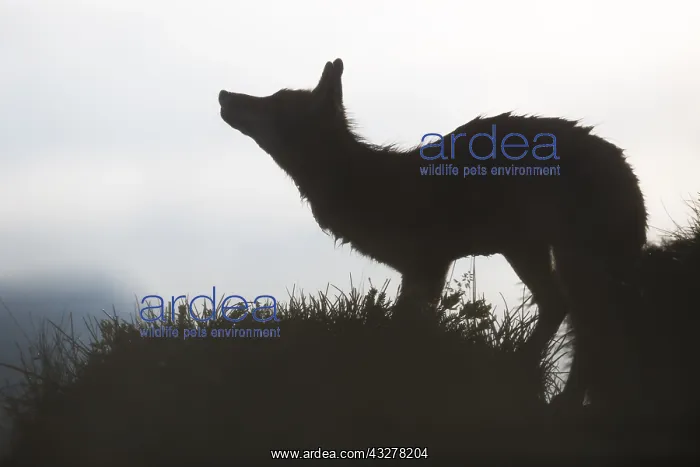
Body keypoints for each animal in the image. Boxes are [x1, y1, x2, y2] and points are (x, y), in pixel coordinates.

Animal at [218, 58, 648, 408]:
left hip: (567, 260)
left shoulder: (428, 265)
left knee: (586, 325)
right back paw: (522, 372)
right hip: (529, 251)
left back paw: (557, 396)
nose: (223, 94)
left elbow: (403, 331)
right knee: (561, 308)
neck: (359, 181)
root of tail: (625, 168)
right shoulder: (420, 270)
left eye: (273, 102)